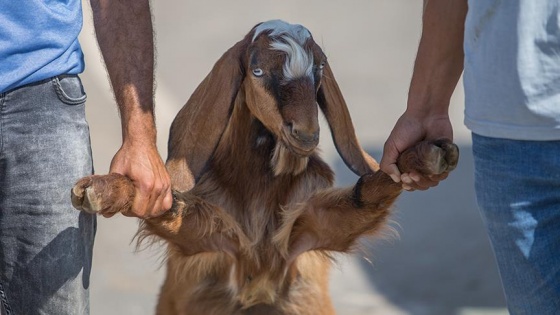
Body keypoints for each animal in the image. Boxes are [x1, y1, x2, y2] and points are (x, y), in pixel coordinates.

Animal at [70, 20, 458, 315]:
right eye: (257, 71)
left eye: (318, 70)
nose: (306, 133)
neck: (260, 195)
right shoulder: (211, 240)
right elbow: (168, 207)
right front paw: (102, 189)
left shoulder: (309, 232)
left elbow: (369, 193)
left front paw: (426, 155)